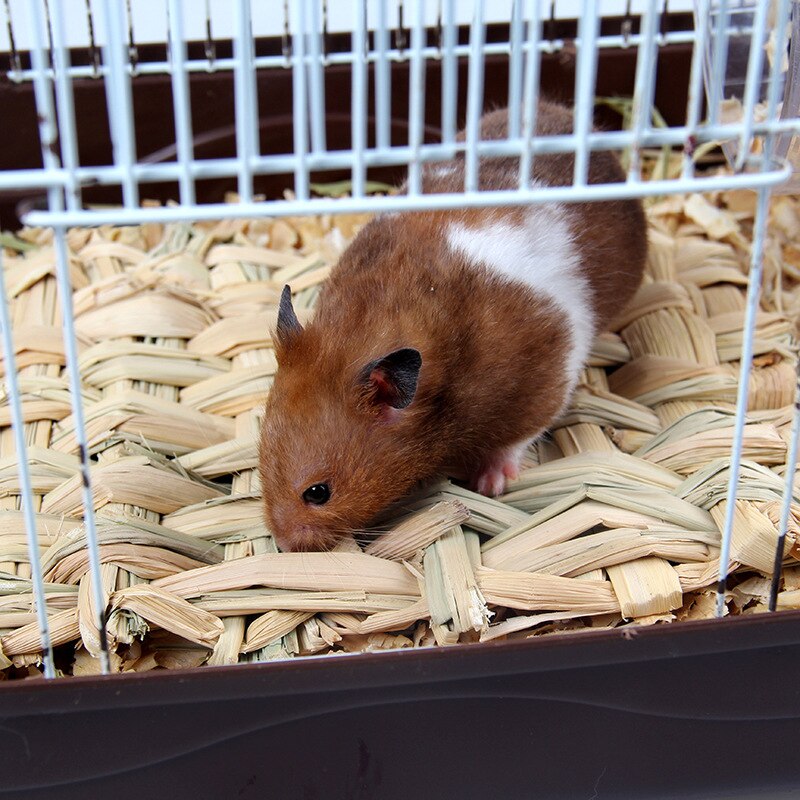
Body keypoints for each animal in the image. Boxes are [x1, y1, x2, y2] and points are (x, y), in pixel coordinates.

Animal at [259, 100, 647, 552]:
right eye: (262, 457)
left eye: (318, 492)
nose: (284, 544)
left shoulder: (544, 377)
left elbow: (516, 439)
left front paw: (489, 484)